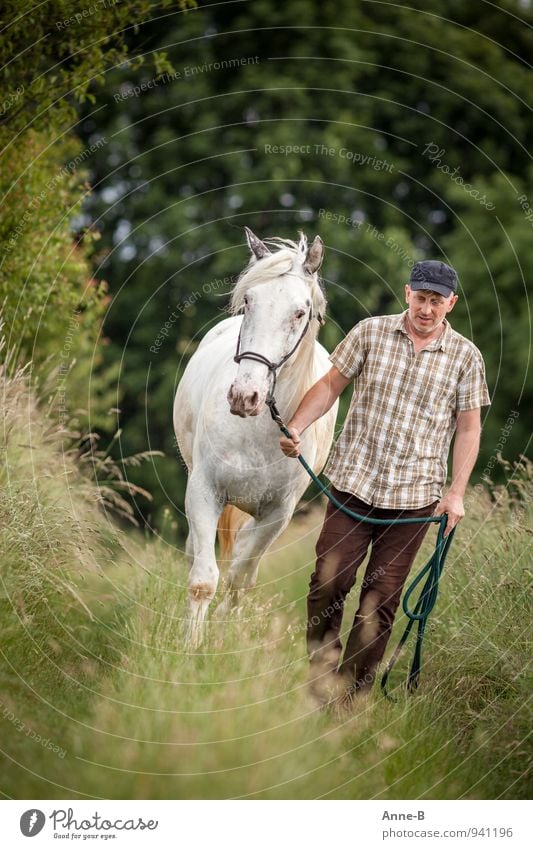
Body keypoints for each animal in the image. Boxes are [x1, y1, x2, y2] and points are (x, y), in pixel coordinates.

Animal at [176, 225, 340, 644]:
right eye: (248, 301)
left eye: (299, 312)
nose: (244, 396)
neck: (260, 431)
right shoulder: (204, 491)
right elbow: (203, 579)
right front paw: (189, 648)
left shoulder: (277, 514)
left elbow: (238, 579)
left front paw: (221, 638)